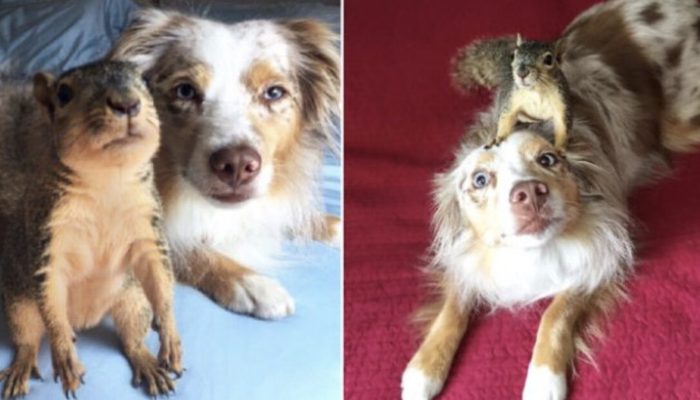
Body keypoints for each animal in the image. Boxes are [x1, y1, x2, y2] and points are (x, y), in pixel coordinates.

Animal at [0, 60, 182, 398]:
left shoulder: (148, 228)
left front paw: (170, 334)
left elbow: (160, 277)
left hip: (133, 300)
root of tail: (85, 321)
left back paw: (148, 362)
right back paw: (23, 366)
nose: (127, 102)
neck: (107, 177)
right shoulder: (49, 236)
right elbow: (51, 292)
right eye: (63, 93)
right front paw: (64, 354)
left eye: (145, 82)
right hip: (19, 304)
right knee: (28, 338)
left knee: (132, 339)